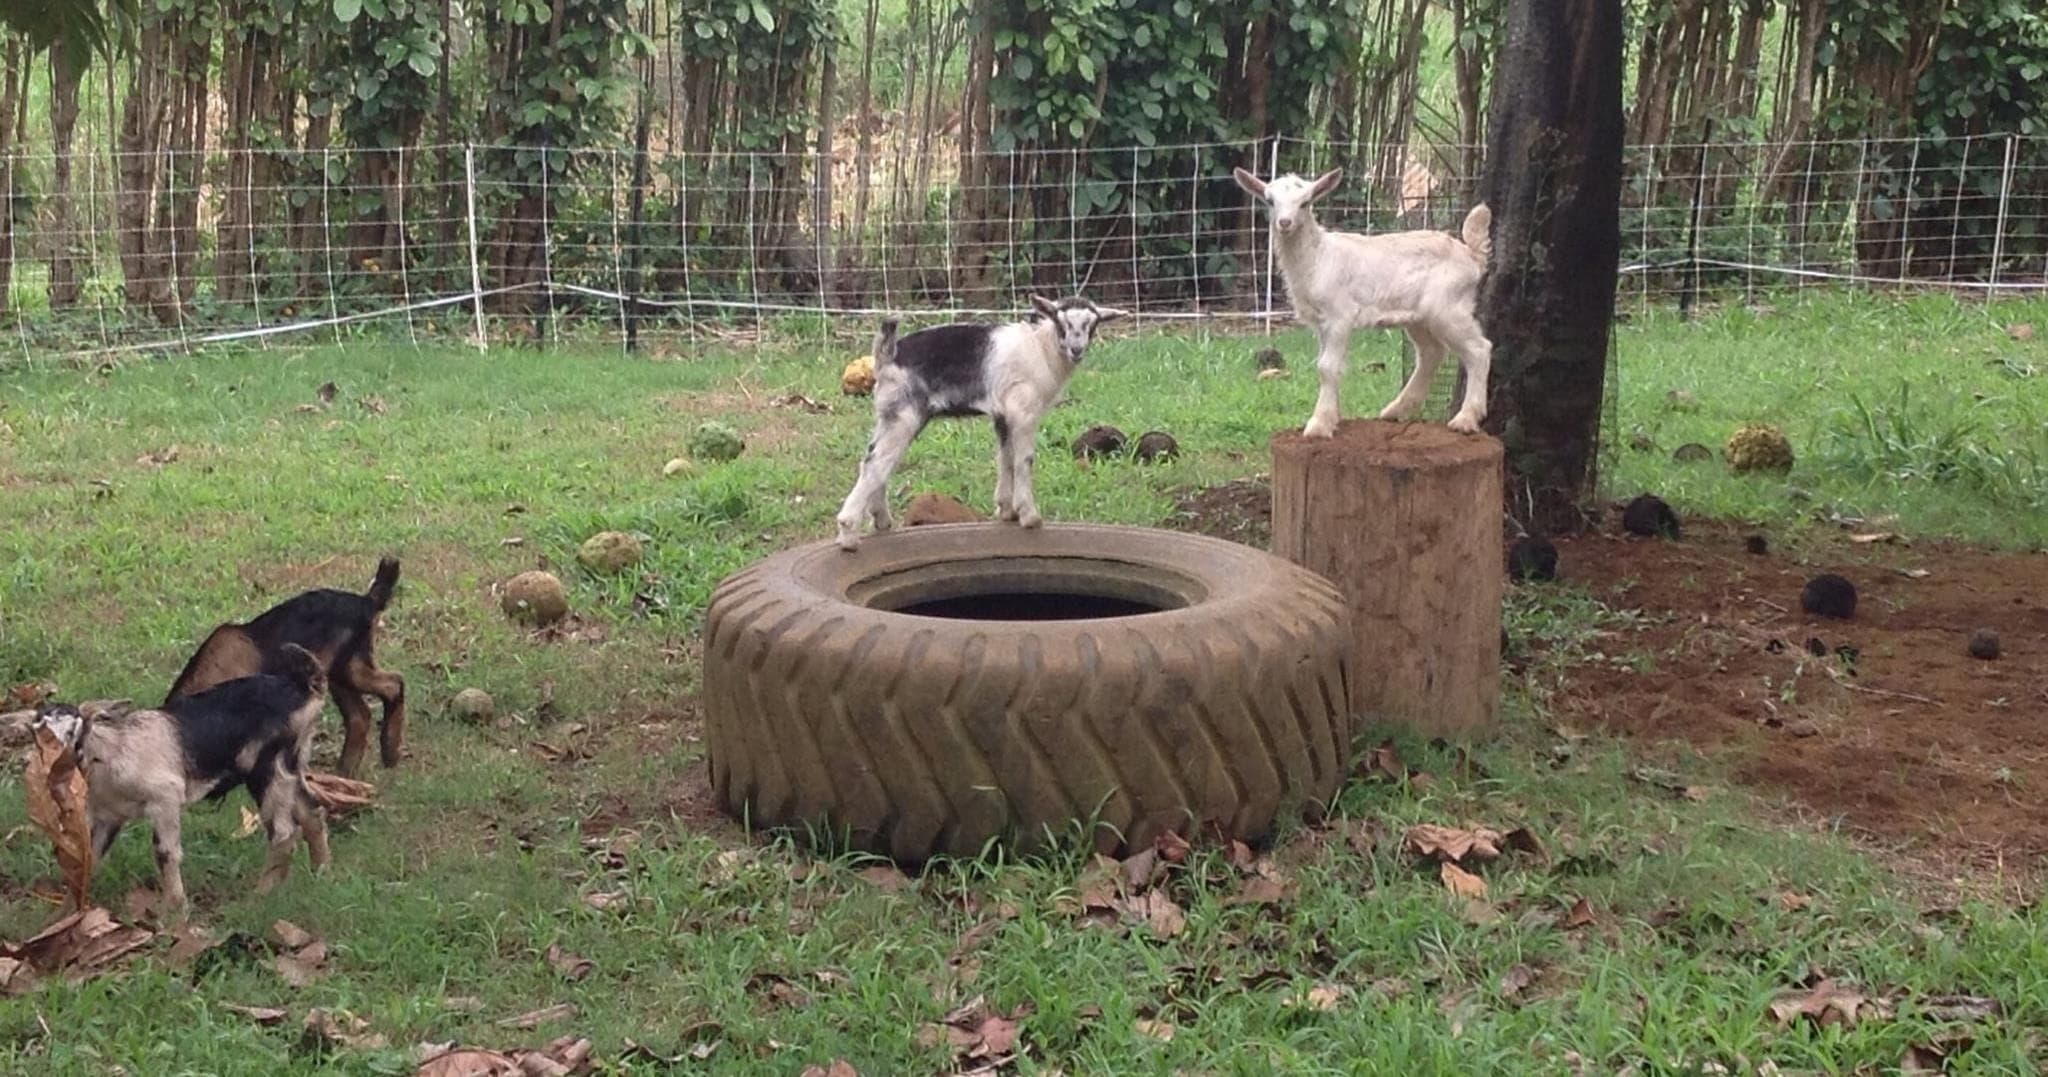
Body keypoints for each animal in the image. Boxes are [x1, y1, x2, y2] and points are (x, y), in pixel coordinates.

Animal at [37, 644, 332, 912]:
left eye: (75, 732)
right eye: (36, 731)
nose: (53, 766)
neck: (110, 752)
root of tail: (305, 689)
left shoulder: (165, 798)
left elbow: (165, 852)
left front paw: (175, 912)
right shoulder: (106, 816)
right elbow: (87, 860)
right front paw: (64, 916)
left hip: (269, 767)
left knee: (284, 833)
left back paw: (258, 897)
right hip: (292, 765)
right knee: (311, 812)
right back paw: (320, 873)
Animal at [167, 557, 405, 778]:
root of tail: (367, 601)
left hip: (348, 668)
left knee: (394, 684)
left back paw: (388, 752)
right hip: (340, 671)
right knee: (361, 715)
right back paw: (346, 772)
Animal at [834, 296, 1128, 551]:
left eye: (1093, 324)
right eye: (1060, 321)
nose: (1076, 350)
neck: (1042, 348)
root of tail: (887, 355)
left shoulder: (1003, 415)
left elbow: (1005, 458)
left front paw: (1006, 510)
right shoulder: (1024, 411)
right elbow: (1024, 460)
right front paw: (1029, 516)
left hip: (890, 415)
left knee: (874, 460)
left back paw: (882, 521)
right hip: (905, 415)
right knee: (877, 464)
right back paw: (848, 534)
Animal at [1234, 168, 1494, 436]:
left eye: (1305, 202)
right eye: (1269, 201)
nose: (1285, 223)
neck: (1317, 257)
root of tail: (1472, 256)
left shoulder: (1340, 315)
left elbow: (1327, 366)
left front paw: (1319, 424)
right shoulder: (1320, 321)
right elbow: (1329, 365)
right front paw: (1333, 416)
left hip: (1449, 307)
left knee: (1479, 349)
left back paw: (1466, 419)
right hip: (1419, 316)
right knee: (1431, 353)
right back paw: (1396, 409)